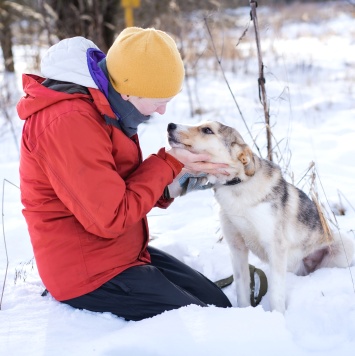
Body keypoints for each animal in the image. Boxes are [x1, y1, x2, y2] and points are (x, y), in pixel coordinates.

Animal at [168, 121, 355, 312]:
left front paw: (277, 316)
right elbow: (242, 289)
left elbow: (275, 294)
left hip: (344, 246)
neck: (237, 186)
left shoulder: (276, 248)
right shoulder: (237, 248)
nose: (171, 125)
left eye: (207, 130)